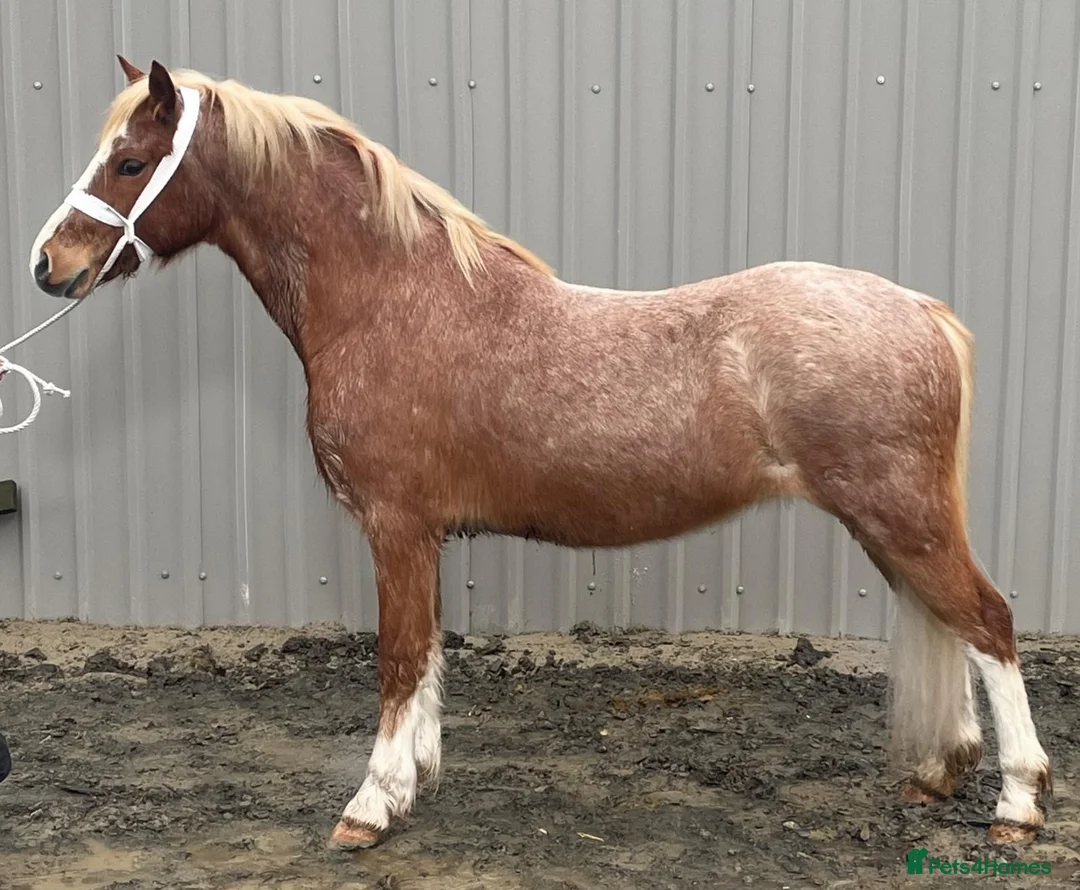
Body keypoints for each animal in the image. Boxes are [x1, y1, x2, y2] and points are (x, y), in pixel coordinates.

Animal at [29, 56, 1052, 850]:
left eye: (128, 161)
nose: (49, 265)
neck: (390, 297)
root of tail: (920, 309)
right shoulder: (424, 537)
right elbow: (426, 659)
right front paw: (416, 779)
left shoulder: (395, 528)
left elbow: (397, 660)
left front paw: (370, 806)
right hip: (891, 526)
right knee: (948, 623)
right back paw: (940, 774)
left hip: (902, 517)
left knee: (990, 624)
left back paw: (1017, 805)